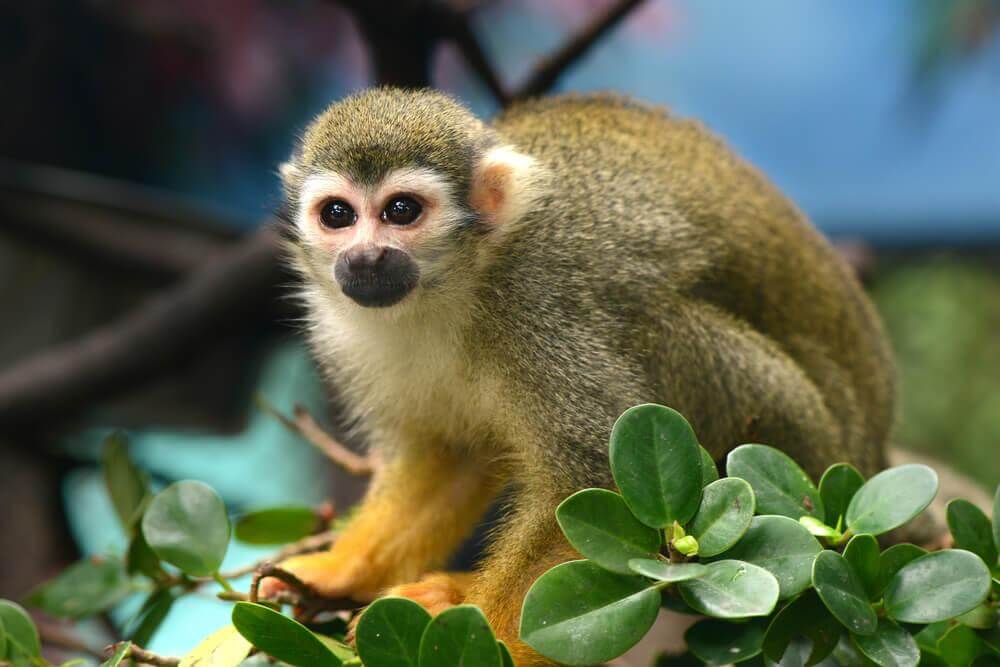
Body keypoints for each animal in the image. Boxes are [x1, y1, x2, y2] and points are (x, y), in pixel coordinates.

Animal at [266, 87, 896, 665]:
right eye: (338, 215)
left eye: (401, 211)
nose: (365, 258)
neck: (454, 288)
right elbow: (446, 456)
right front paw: (337, 570)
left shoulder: (540, 304)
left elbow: (591, 481)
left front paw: (489, 640)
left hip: (793, 431)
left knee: (655, 325)